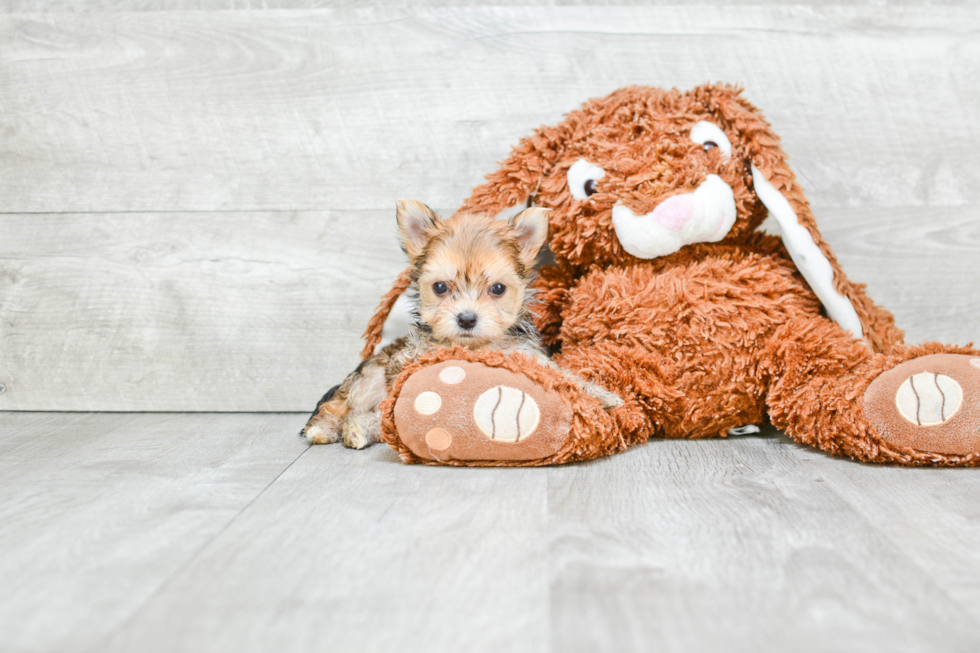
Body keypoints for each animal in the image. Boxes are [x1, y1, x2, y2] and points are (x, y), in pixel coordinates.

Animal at [302, 199, 620, 448]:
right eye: (440, 287)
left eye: (498, 289)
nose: (467, 318)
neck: (474, 347)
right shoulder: (408, 363)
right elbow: (391, 406)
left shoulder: (528, 357)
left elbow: (563, 376)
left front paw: (602, 395)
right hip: (368, 379)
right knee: (341, 407)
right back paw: (328, 429)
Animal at [360, 84, 980, 466]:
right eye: (588, 184)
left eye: (710, 143)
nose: (673, 207)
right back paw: (490, 402)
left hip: (801, 341)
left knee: (823, 367)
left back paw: (924, 391)